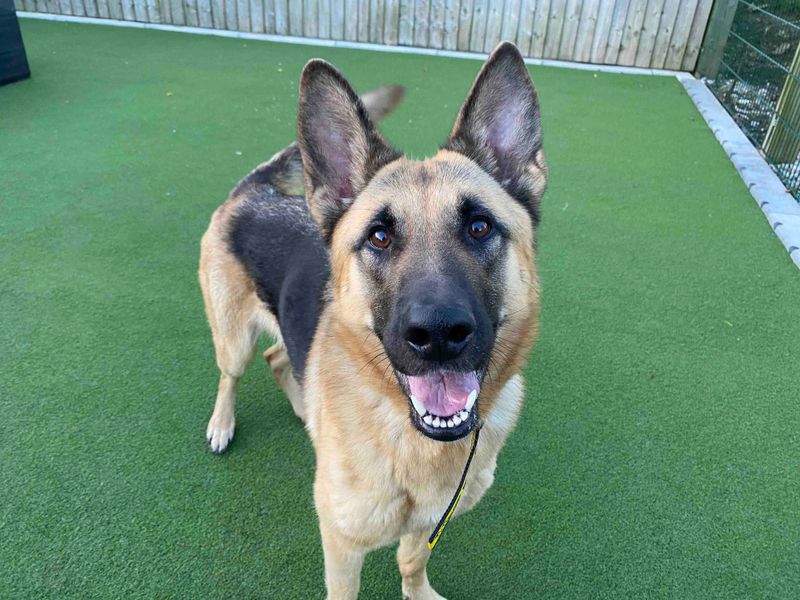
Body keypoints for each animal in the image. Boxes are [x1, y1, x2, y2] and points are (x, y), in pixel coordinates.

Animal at [200, 43, 548, 600]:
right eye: (379, 237)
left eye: (479, 227)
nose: (438, 334)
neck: (412, 440)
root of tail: (253, 192)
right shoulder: (341, 546)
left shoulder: (427, 524)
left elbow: (411, 561)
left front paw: (419, 593)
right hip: (233, 340)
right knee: (230, 375)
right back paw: (222, 424)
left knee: (278, 356)